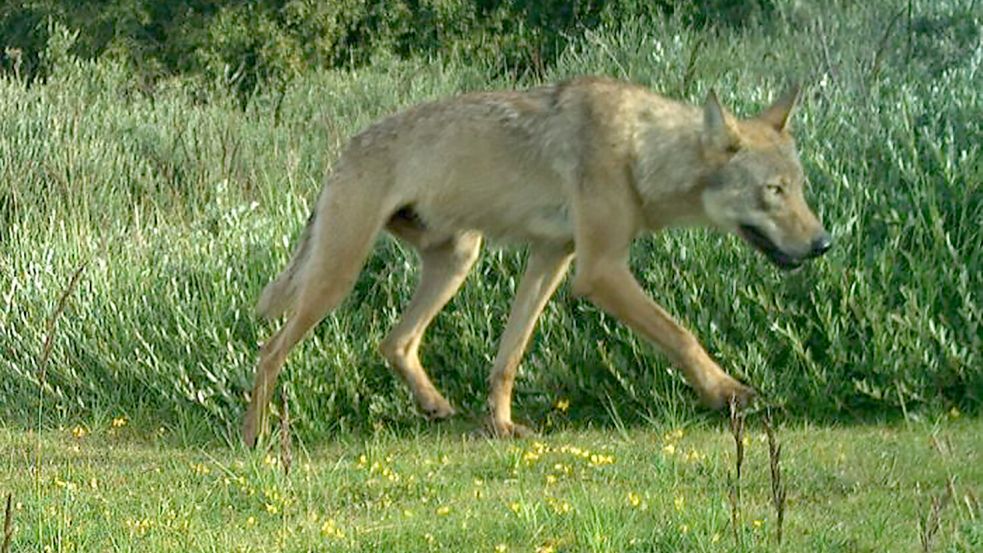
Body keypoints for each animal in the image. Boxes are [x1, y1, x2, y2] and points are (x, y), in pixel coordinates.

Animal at [238, 76, 832, 444]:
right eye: (773, 191)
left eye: (800, 187)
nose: (823, 244)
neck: (640, 150)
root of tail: (344, 148)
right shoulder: (599, 271)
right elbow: (682, 334)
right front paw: (729, 394)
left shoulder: (553, 255)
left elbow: (509, 355)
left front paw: (501, 428)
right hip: (336, 278)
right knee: (268, 353)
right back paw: (254, 440)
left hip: (459, 258)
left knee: (395, 341)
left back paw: (434, 406)